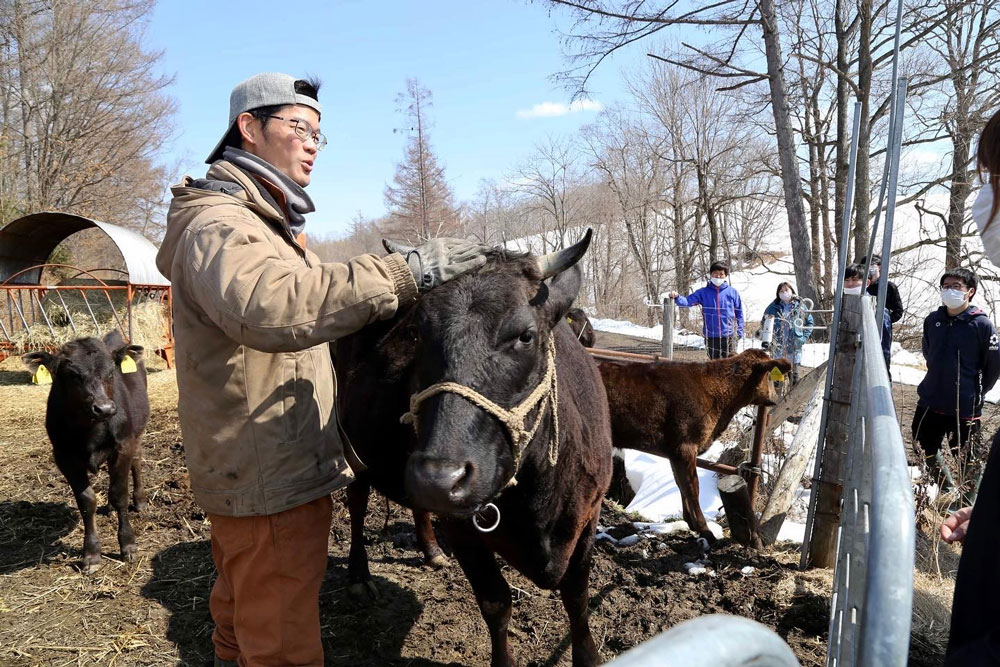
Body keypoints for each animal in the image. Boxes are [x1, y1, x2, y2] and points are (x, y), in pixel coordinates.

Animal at [22, 330, 148, 576]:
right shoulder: (64, 457)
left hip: (135, 436)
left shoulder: (123, 446)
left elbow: (119, 493)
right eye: (72, 375)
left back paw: (139, 501)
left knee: (136, 462)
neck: (90, 429)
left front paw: (128, 545)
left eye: (111, 372)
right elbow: (86, 502)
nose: (105, 408)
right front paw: (91, 554)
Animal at [336, 231, 612, 667]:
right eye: (416, 334)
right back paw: (359, 577)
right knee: (359, 503)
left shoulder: (588, 513)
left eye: (525, 335)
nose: (438, 479)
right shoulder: (463, 528)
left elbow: (577, 596)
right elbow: (496, 602)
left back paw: (431, 550)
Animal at [600, 350, 788, 544]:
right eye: (771, 377)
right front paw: (705, 530)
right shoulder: (685, 446)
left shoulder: (674, 451)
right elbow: (692, 488)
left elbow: (681, 484)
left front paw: (690, 522)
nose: (775, 399)